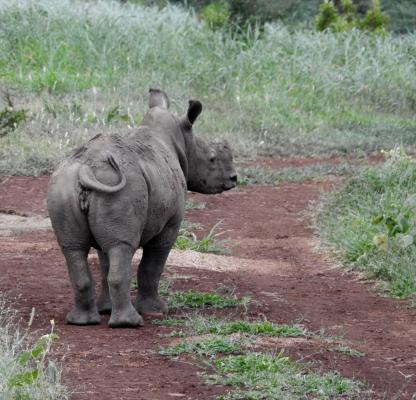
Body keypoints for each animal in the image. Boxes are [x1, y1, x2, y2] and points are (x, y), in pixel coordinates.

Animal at [47, 90, 236, 328]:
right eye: (212, 158)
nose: (234, 178)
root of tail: (86, 170)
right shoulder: (171, 224)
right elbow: (152, 266)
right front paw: (157, 310)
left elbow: (105, 261)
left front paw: (106, 309)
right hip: (124, 188)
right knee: (122, 248)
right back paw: (129, 323)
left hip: (63, 185)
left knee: (74, 249)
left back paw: (82, 321)